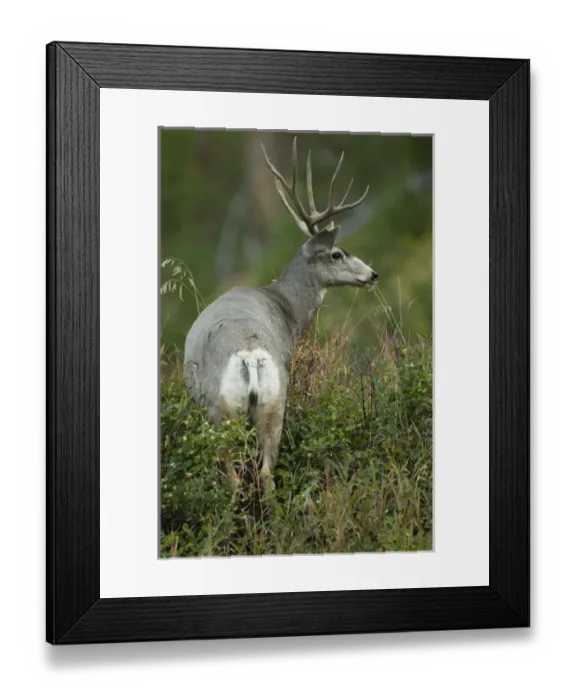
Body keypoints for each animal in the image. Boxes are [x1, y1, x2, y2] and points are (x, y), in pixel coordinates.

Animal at [183, 136, 379, 493]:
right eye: (337, 253)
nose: (373, 274)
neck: (283, 305)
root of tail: (250, 357)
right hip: (270, 403)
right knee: (262, 472)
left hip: (230, 411)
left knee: (241, 476)